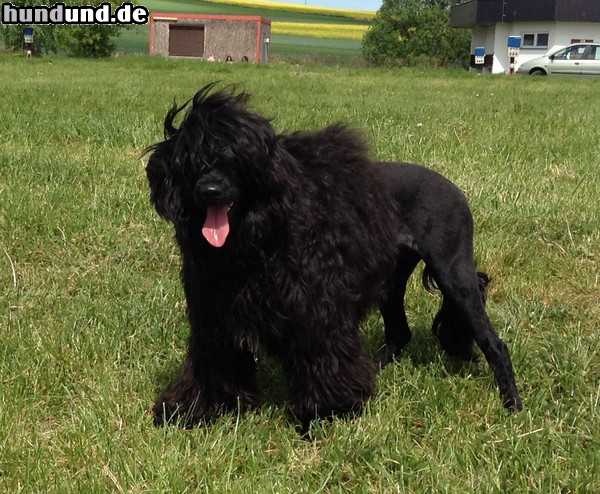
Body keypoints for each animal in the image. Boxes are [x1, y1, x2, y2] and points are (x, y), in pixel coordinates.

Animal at [144, 83, 520, 430]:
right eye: (191, 162)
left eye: (234, 160)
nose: (210, 191)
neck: (260, 235)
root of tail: (455, 190)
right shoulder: (214, 311)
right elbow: (213, 360)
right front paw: (193, 410)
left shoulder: (316, 307)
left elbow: (321, 354)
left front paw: (325, 413)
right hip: (392, 277)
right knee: (399, 333)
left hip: (454, 273)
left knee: (495, 344)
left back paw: (512, 404)